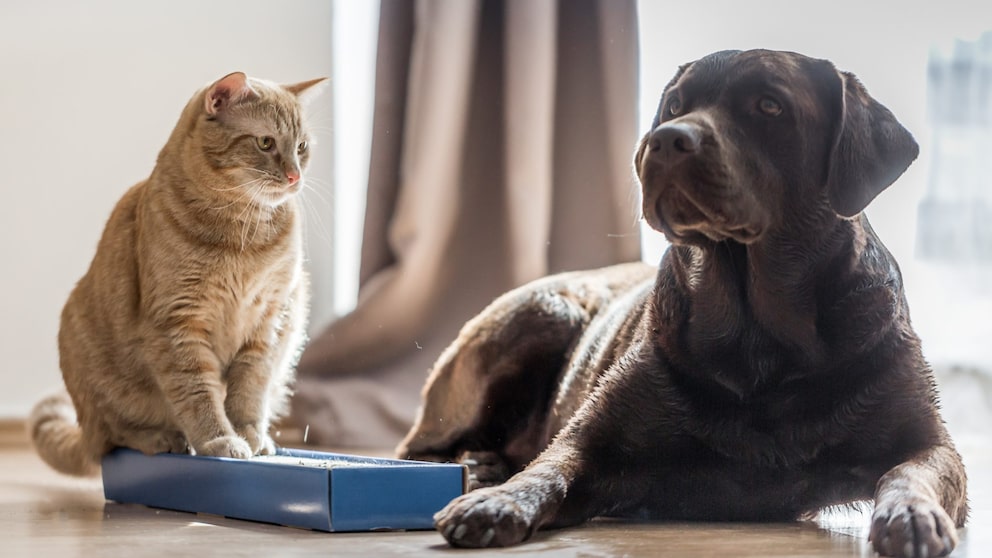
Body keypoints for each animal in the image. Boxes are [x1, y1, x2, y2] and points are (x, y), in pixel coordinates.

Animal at [29, 71, 324, 476]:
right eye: (265, 142)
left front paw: (250, 435)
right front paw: (219, 440)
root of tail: (84, 428)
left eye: (302, 146)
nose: (295, 176)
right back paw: (161, 438)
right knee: (113, 438)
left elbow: (250, 391)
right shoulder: (178, 325)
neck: (241, 234)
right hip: (92, 361)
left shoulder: (269, 323)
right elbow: (198, 393)